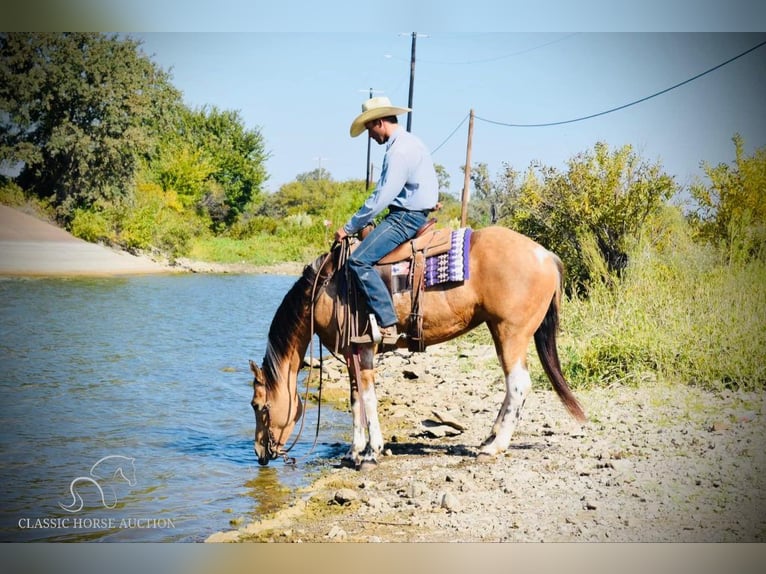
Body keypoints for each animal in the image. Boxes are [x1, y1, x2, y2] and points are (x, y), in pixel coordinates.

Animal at [249, 224, 584, 468]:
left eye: (258, 405)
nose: (260, 453)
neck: (326, 288)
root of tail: (545, 254)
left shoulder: (365, 349)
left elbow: (368, 398)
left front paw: (371, 452)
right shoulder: (351, 352)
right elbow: (355, 399)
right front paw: (353, 451)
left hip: (510, 333)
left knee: (518, 385)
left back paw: (495, 446)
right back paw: (489, 440)